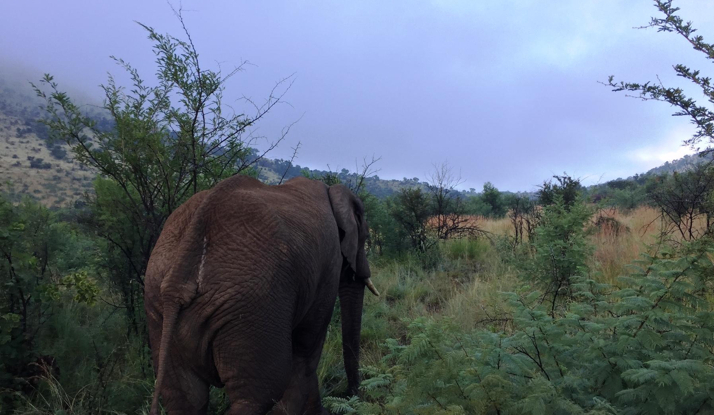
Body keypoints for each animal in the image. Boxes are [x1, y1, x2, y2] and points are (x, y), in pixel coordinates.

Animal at [143, 176, 378, 415]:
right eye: (365, 237)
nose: (352, 395)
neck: (331, 191)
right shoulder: (328, 266)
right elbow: (305, 353)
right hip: (253, 307)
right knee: (259, 394)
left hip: (160, 306)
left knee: (184, 397)